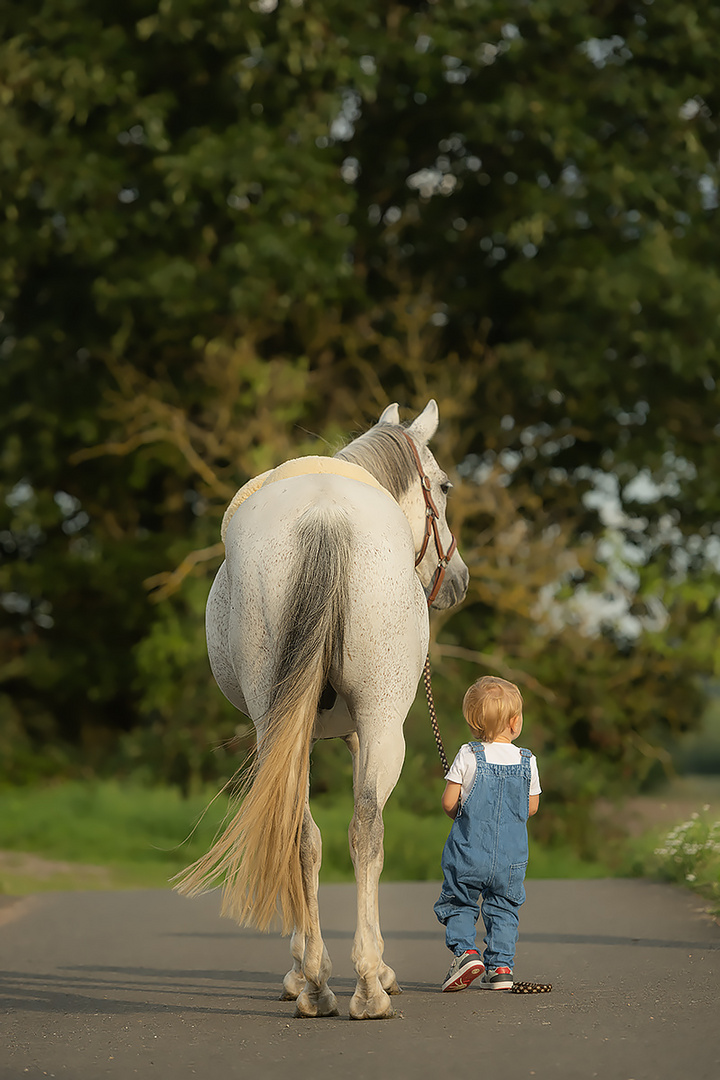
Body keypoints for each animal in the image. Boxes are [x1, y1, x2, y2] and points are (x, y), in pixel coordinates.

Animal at [177, 401, 470, 1015]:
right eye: (443, 485)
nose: (456, 579)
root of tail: (326, 519)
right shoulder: (361, 734)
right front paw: (374, 967)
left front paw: (308, 971)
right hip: (381, 725)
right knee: (365, 832)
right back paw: (364, 985)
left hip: (279, 723)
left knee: (303, 833)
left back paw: (316, 983)